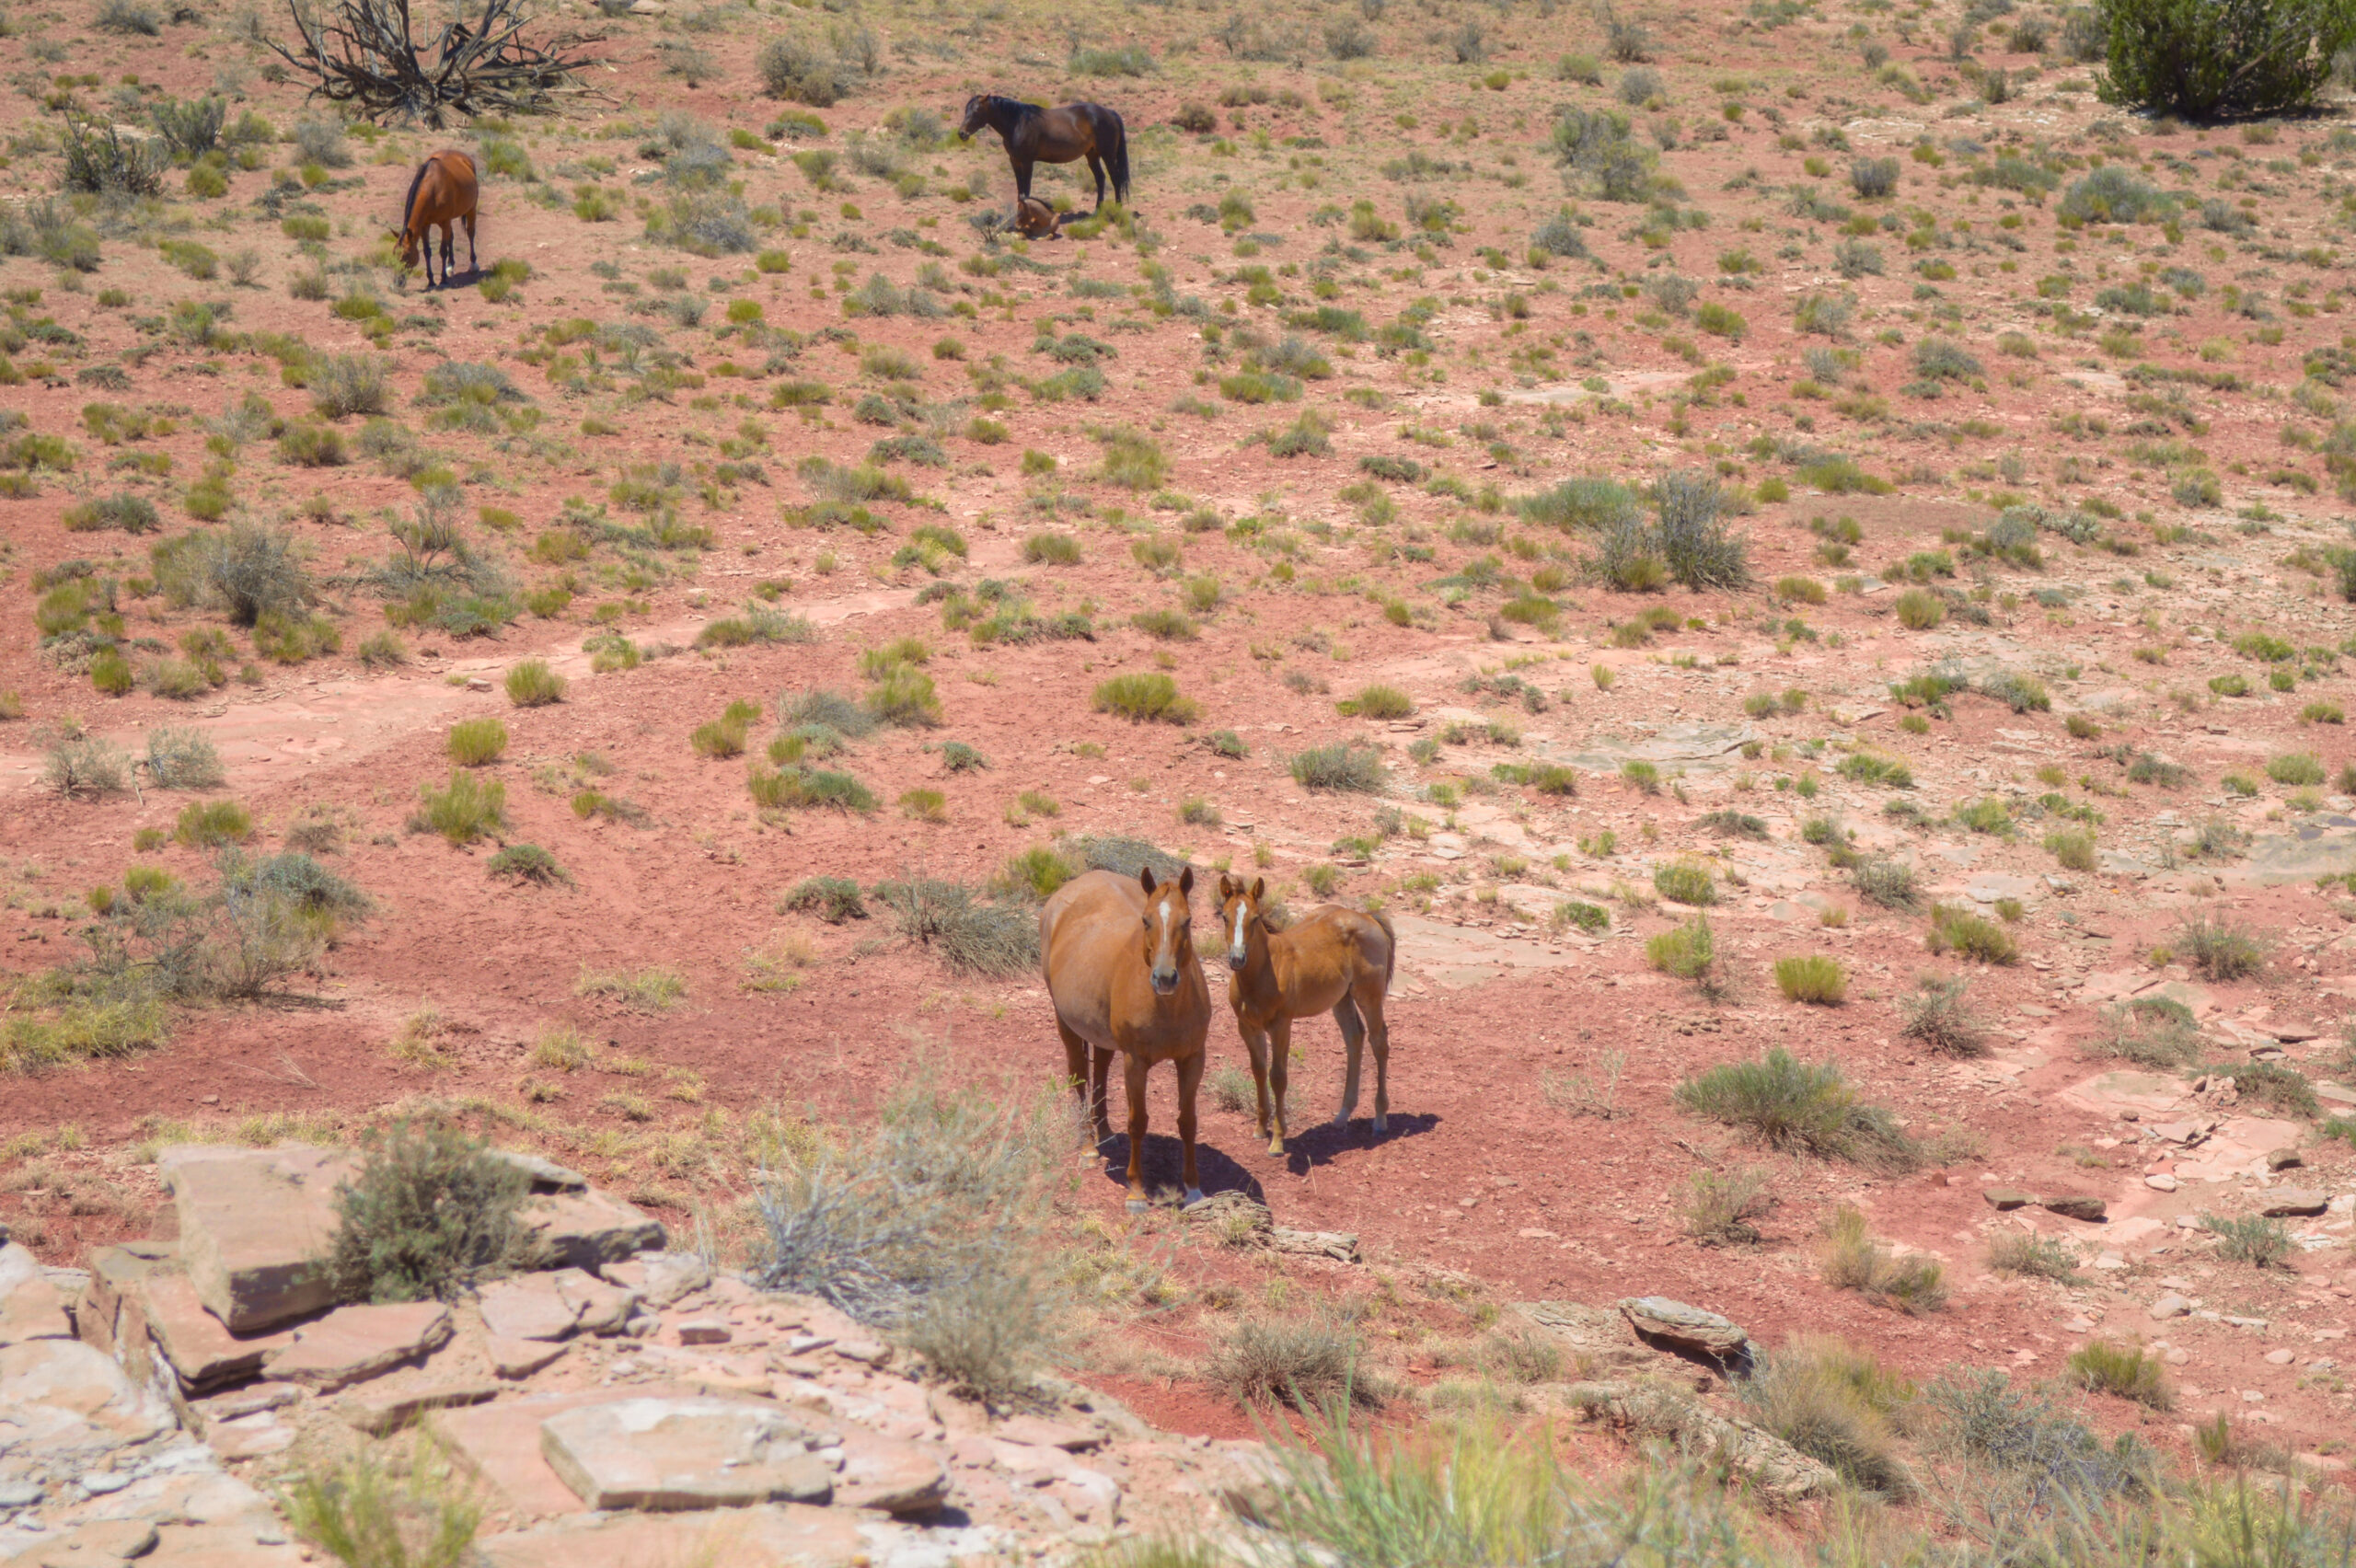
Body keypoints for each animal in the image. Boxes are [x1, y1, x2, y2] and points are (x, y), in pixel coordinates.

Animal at [396, 150, 479, 290]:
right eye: (394, 253)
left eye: (406, 255)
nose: (397, 282)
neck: (433, 189)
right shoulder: (425, 225)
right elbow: (427, 251)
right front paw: (431, 281)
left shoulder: (445, 222)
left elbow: (442, 251)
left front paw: (443, 279)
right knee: (451, 236)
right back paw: (450, 266)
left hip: (471, 208)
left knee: (470, 233)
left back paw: (473, 265)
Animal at [958, 95, 1130, 223]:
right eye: (966, 110)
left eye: (977, 110)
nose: (962, 133)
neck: (1017, 123)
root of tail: (1110, 113)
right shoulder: (1015, 161)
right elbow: (1020, 190)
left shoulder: (1027, 162)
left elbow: (1026, 191)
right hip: (1092, 155)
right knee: (1100, 178)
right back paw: (1096, 211)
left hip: (1108, 155)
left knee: (1115, 179)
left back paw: (1117, 209)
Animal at [1040, 866, 1210, 1211]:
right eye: (1145, 920)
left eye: (1187, 920)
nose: (1165, 978)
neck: (1168, 1007)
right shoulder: (1136, 1062)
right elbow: (1138, 1122)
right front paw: (1136, 1192)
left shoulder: (1192, 1059)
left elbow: (1188, 1121)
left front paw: (1193, 1190)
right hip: (1065, 1023)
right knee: (1080, 1076)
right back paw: (1087, 1147)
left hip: (1102, 1035)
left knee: (1101, 1070)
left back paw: (1104, 1132)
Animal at [1214, 875, 1397, 1157]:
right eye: (1224, 916)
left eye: (1255, 918)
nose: (1237, 958)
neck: (1263, 973)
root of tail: (1368, 916)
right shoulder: (1247, 1026)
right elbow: (1258, 1070)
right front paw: (1260, 1128)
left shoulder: (1281, 1026)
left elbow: (1278, 1077)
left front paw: (1278, 1141)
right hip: (1341, 999)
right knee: (1354, 1038)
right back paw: (1342, 1116)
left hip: (1370, 996)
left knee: (1379, 1042)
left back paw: (1379, 1119)